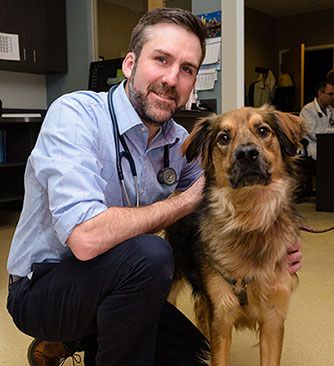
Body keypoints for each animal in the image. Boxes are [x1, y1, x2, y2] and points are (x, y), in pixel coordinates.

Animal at [166, 104, 306, 364]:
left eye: (263, 130)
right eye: (223, 138)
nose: (247, 154)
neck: (249, 218)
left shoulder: (273, 318)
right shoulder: (221, 315)